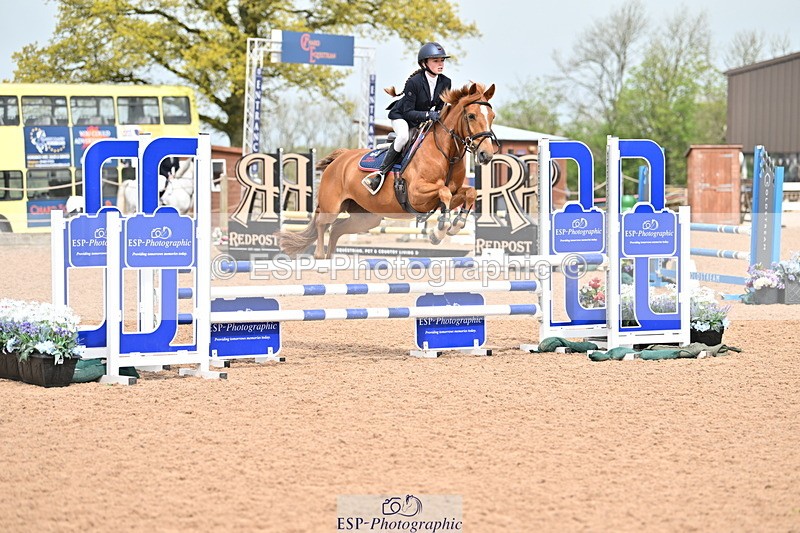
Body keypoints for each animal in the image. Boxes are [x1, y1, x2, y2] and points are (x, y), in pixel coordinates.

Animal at [276, 82, 497, 259]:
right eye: (471, 115)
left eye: (492, 116)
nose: (487, 154)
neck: (446, 154)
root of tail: (340, 158)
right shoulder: (417, 194)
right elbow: (443, 193)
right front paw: (439, 231)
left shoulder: (454, 192)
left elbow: (469, 192)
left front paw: (456, 225)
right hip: (332, 207)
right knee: (323, 224)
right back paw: (320, 255)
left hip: (366, 217)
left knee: (338, 228)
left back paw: (331, 258)